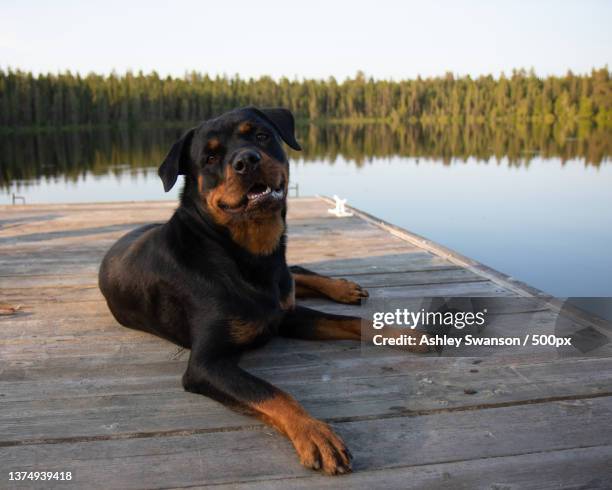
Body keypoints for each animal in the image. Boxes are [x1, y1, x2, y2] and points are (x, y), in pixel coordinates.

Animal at [99, 106, 426, 474]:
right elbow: (271, 392)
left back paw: (342, 288)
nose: (247, 160)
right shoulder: (207, 363)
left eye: (260, 135)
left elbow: (347, 322)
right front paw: (315, 433)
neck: (248, 256)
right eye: (209, 157)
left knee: (296, 272)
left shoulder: (286, 316)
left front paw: (404, 334)